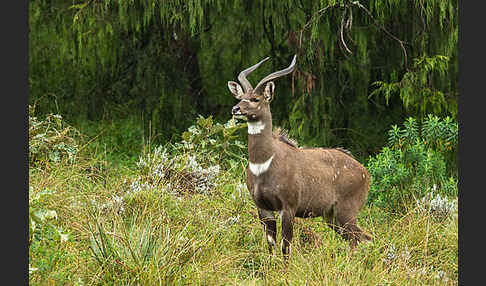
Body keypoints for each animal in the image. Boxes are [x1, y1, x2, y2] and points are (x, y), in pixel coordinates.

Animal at [228, 54, 372, 256]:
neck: (264, 163)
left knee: (359, 239)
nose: (236, 109)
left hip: (346, 210)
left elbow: (285, 246)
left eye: (255, 99)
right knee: (363, 238)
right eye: (240, 97)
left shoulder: (288, 206)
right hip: (331, 216)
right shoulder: (263, 207)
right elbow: (271, 245)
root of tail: (366, 173)